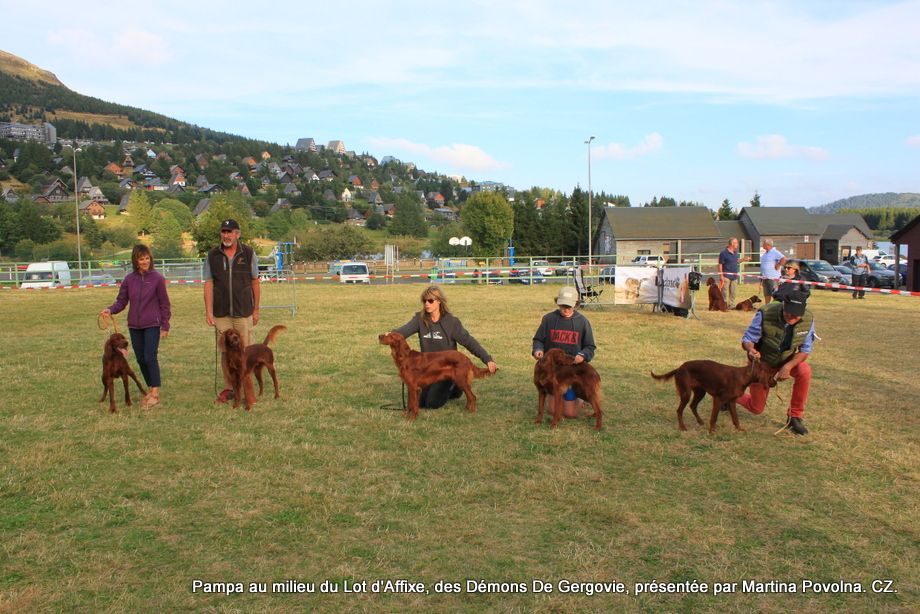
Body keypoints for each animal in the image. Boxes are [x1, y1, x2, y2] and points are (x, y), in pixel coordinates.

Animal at [652, 360, 780, 434]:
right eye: (771, 375)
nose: (776, 382)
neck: (743, 376)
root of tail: (679, 368)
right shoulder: (719, 399)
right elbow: (714, 417)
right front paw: (712, 431)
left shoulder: (731, 401)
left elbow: (735, 418)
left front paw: (739, 429)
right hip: (686, 393)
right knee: (679, 410)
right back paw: (682, 427)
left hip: (700, 392)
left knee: (692, 406)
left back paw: (700, 421)